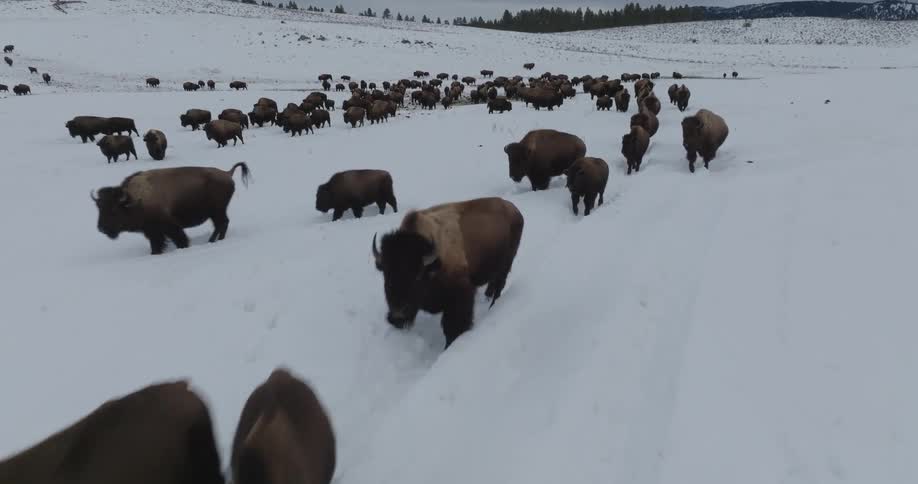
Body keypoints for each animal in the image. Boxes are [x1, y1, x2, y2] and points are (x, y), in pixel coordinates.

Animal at [91, 162, 251, 254]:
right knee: (221, 224)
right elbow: (156, 245)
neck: (134, 199)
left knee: (222, 224)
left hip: (217, 211)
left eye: (114, 210)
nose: (101, 228)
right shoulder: (152, 232)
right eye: (99, 208)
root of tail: (227, 173)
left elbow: (180, 239)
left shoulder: (170, 227)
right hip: (216, 212)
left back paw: (213, 241)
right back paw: (212, 241)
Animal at [372, 197, 524, 348]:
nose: (397, 317)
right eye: (386, 274)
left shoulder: (459, 297)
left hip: (506, 264)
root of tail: (515, 210)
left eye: (417, 276)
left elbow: (452, 328)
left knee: (499, 285)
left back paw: (492, 306)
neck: (434, 264)